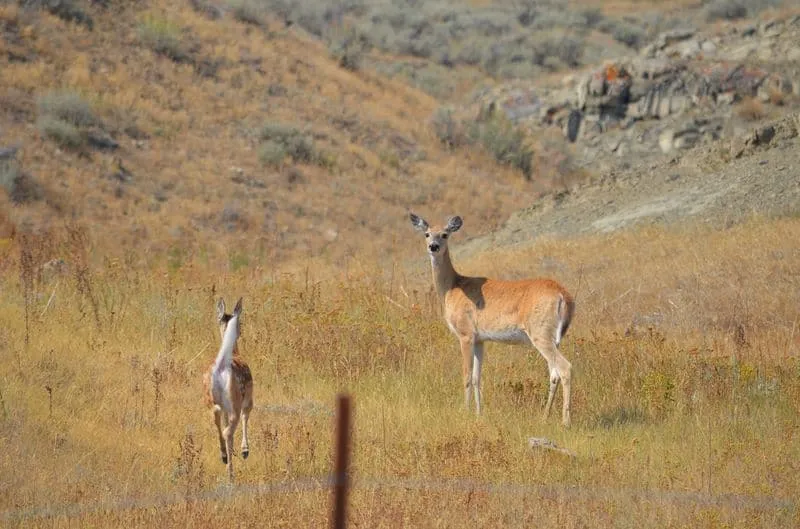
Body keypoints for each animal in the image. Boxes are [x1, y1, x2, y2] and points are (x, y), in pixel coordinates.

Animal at [204, 297, 254, 481]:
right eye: (241, 322)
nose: (240, 331)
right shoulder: (249, 399)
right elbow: (246, 417)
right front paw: (245, 450)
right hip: (235, 401)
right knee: (228, 430)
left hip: (211, 397)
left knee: (216, 417)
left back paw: (225, 456)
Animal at [409, 213, 576, 427]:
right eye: (427, 234)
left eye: (445, 234)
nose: (433, 246)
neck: (452, 287)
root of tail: (564, 295)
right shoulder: (480, 339)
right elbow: (477, 377)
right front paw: (479, 414)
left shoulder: (466, 334)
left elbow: (466, 375)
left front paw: (465, 412)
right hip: (554, 337)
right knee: (553, 373)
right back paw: (544, 417)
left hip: (540, 333)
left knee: (565, 368)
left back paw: (566, 422)